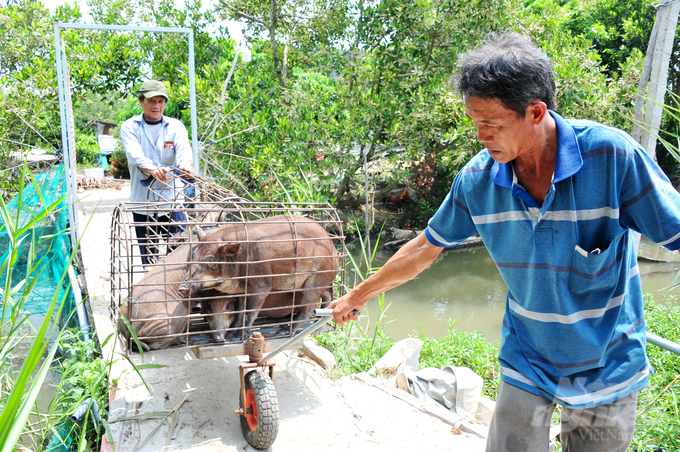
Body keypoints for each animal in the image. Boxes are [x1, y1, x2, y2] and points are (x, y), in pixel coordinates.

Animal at [181, 215, 338, 340]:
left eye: (211, 260)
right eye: (193, 255)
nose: (182, 287)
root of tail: (335, 251)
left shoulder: (261, 286)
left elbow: (250, 312)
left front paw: (238, 338)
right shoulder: (242, 291)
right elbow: (240, 311)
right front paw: (232, 335)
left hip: (316, 279)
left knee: (309, 308)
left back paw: (283, 333)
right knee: (327, 296)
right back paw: (319, 321)